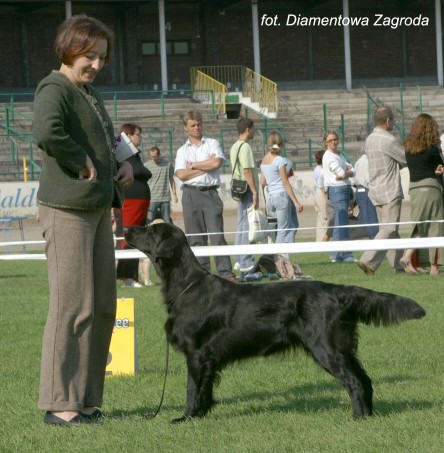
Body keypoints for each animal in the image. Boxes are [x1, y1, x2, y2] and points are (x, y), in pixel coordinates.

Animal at [125, 222, 426, 420]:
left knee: (353, 382)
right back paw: (370, 415)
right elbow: (204, 390)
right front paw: (200, 415)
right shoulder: (208, 358)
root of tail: (337, 290)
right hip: (342, 347)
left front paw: (186, 417)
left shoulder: (196, 353)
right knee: (365, 380)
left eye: (150, 231)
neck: (186, 285)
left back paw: (357, 417)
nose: (126, 229)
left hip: (325, 348)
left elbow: (191, 389)